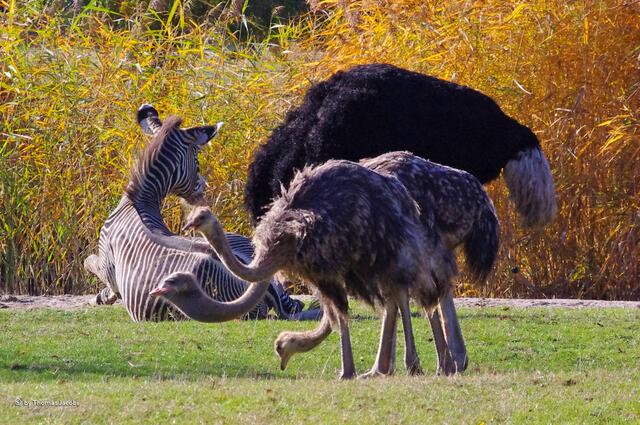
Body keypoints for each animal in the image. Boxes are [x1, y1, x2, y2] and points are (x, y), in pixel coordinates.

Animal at [84, 105, 316, 321]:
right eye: (197, 160)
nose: (204, 187)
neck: (139, 200)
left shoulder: (106, 264)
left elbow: (90, 261)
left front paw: (102, 296)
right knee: (292, 302)